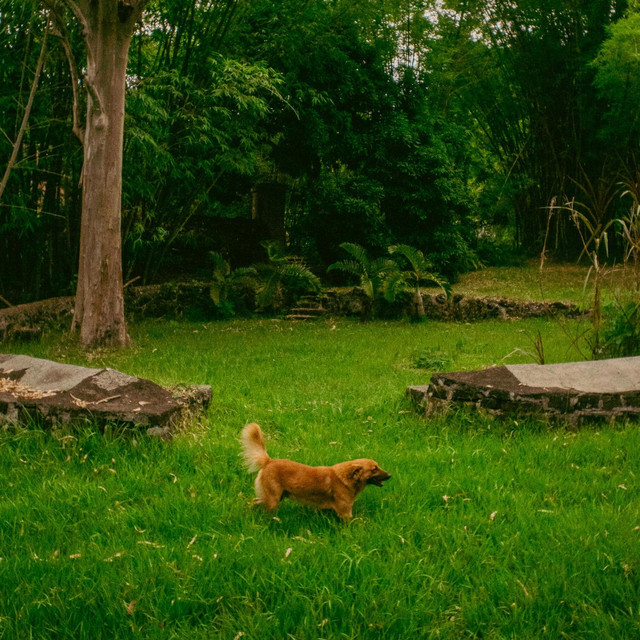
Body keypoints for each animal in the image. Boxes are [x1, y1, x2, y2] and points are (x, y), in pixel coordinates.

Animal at [240, 422, 391, 520]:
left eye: (377, 466)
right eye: (374, 469)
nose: (389, 475)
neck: (346, 479)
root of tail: (269, 461)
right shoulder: (345, 512)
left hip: (273, 496)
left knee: (254, 502)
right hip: (273, 499)